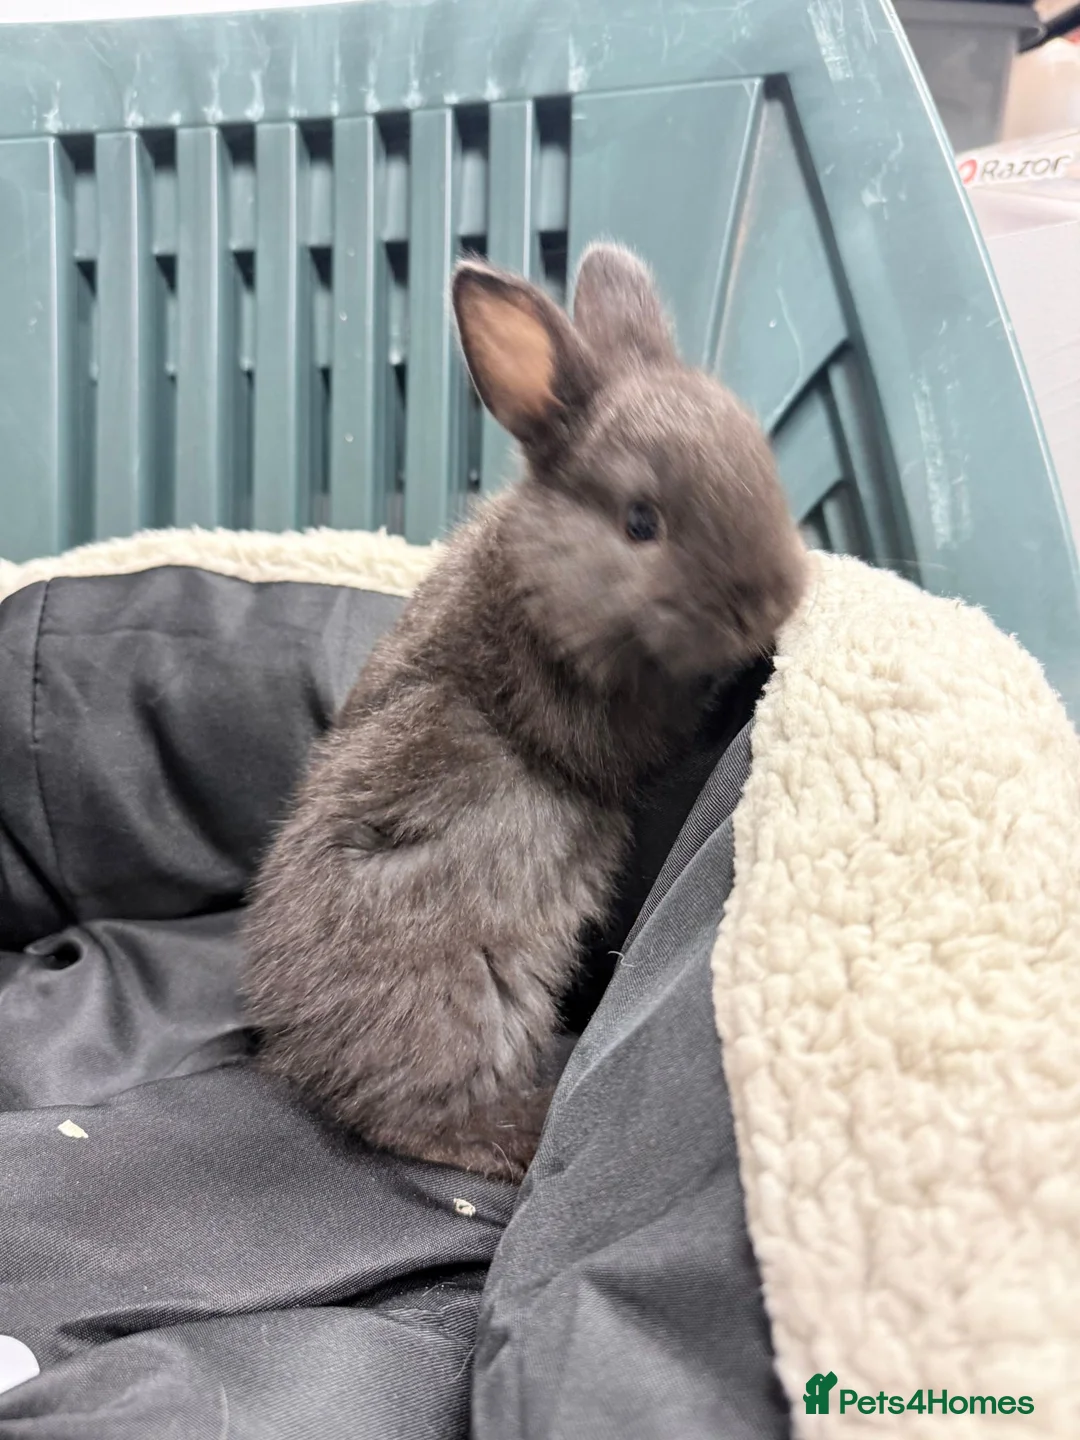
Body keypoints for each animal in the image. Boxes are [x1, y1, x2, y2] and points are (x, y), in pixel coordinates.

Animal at [241, 241, 808, 1183]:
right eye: (641, 522)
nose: (775, 598)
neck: (541, 581)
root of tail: (293, 1053)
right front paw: (745, 675)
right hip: (467, 992)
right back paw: (520, 1133)